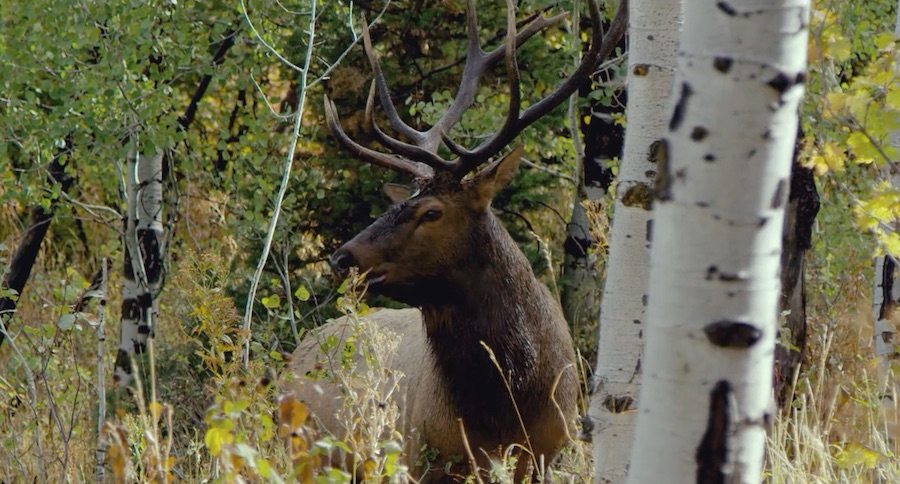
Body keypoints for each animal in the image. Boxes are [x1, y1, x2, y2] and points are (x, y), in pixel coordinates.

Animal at [284, 0, 624, 480]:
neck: (510, 405)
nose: (342, 258)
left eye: (431, 212)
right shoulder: (421, 458)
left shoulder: (547, 454)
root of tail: (294, 357)